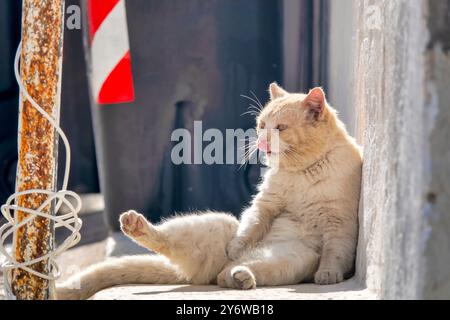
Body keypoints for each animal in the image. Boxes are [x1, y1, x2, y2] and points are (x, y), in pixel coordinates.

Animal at [58, 84, 364, 298]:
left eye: (281, 128)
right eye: (261, 125)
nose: (262, 142)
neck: (301, 173)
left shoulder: (340, 223)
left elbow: (334, 252)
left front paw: (328, 275)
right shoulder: (265, 203)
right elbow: (251, 224)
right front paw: (238, 245)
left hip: (293, 258)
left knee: (233, 273)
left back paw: (240, 276)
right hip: (214, 224)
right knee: (168, 242)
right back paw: (139, 226)